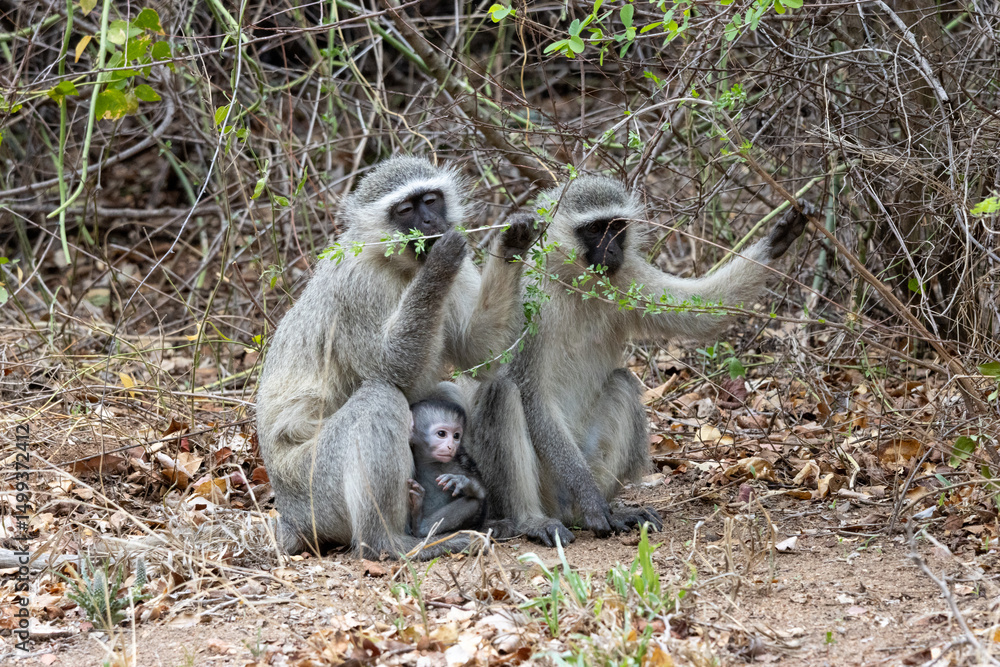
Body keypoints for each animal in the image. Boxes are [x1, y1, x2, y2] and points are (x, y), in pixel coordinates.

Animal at [407, 397, 487, 538]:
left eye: (456, 436)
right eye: (441, 434)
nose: (451, 446)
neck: (429, 461)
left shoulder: (454, 463)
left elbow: (481, 492)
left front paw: (461, 481)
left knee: (474, 502)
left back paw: (419, 526)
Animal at [465, 176, 812, 546]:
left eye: (617, 227)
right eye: (594, 229)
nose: (612, 251)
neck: (573, 279)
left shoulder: (627, 275)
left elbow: (699, 311)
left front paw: (777, 240)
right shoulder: (528, 301)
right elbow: (531, 393)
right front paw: (591, 500)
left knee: (623, 382)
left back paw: (598, 513)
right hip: (547, 483)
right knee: (502, 393)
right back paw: (534, 519)